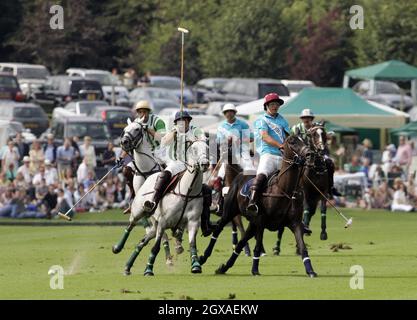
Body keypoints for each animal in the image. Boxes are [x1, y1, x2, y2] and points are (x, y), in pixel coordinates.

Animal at [112, 139, 210, 276]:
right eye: (194, 149)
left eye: (207, 148)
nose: (205, 164)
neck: (188, 191)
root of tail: (150, 176)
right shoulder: (163, 222)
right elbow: (156, 247)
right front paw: (148, 269)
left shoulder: (193, 222)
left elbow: (192, 244)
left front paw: (196, 265)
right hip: (139, 212)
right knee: (130, 225)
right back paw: (117, 247)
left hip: (155, 225)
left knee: (142, 242)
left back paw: (127, 267)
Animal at [198, 135, 316, 278]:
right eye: (293, 142)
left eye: (304, 140)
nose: (310, 154)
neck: (284, 190)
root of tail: (239, 175)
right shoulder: (261, 222)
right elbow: (257, 247)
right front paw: (255, 270)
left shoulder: (295, 223)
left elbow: (303, 247)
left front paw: (310, 271)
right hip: (229, 213)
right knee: (217, 231)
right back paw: (203, 258)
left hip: (252, 224)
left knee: (240, 243)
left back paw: (223, 268)